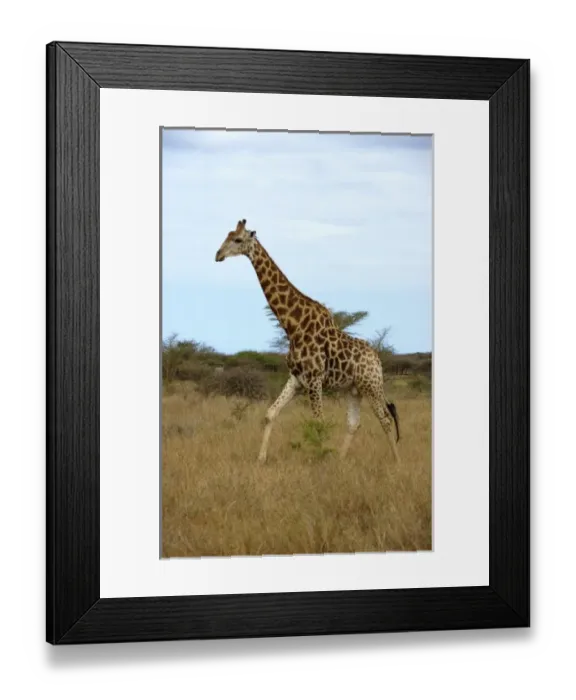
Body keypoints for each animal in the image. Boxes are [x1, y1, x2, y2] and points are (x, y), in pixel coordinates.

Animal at [215, 219, 401, 465]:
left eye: (237, 239)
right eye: (226, 236)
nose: (218, 255)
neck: (294, 326)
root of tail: (378, 360)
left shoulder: (314, 379)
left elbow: (319, 422)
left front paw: (319, 461)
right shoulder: (296, 378)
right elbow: (270, 414)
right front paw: (261, 459)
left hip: (371, 385)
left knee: (386, 419)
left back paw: (397, 462)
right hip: (353, 390)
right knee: (354, 423)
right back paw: (340, 460)